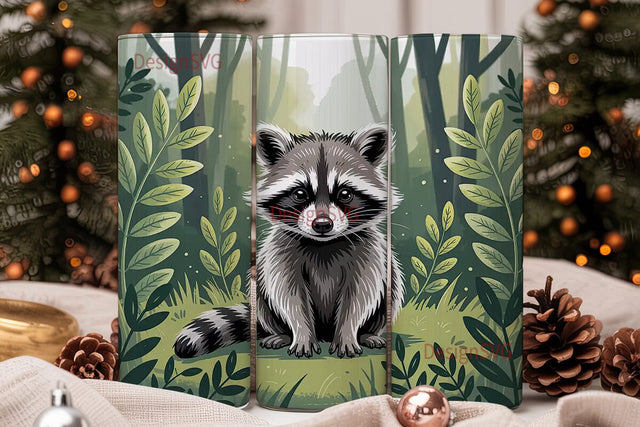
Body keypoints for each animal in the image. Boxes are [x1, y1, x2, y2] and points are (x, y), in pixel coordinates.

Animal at [174, 123, 403, 359]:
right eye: (300, 193)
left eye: (345, 193)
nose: (322, 224)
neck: (323, 245)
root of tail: (324, 333)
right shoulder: (280, 252)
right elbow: (288, 295)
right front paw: (302, 334)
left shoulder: (368, 252)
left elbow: (360, 295)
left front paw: (347, 333)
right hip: (262, 295)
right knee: (263, 296)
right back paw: (281, 335)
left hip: (389, 281)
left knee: (390, 289)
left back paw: (368, 334)